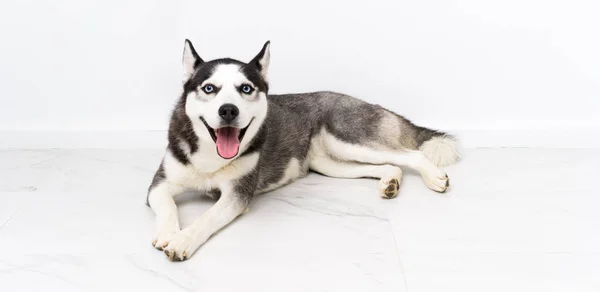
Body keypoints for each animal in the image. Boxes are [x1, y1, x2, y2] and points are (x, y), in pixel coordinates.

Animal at [148, 40, 462, 262]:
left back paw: (434, 178)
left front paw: (183, 240)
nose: (228, 110)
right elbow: (167, 205)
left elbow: (206, 218)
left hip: (347, 138)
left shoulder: (236, 195)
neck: (211, 158)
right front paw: (168, 233)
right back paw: (390, 181)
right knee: (390, 164)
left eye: (246, 89)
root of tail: (365, 102)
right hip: (329, 163)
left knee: (410, 155)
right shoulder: (159, 184)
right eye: (209, 88)